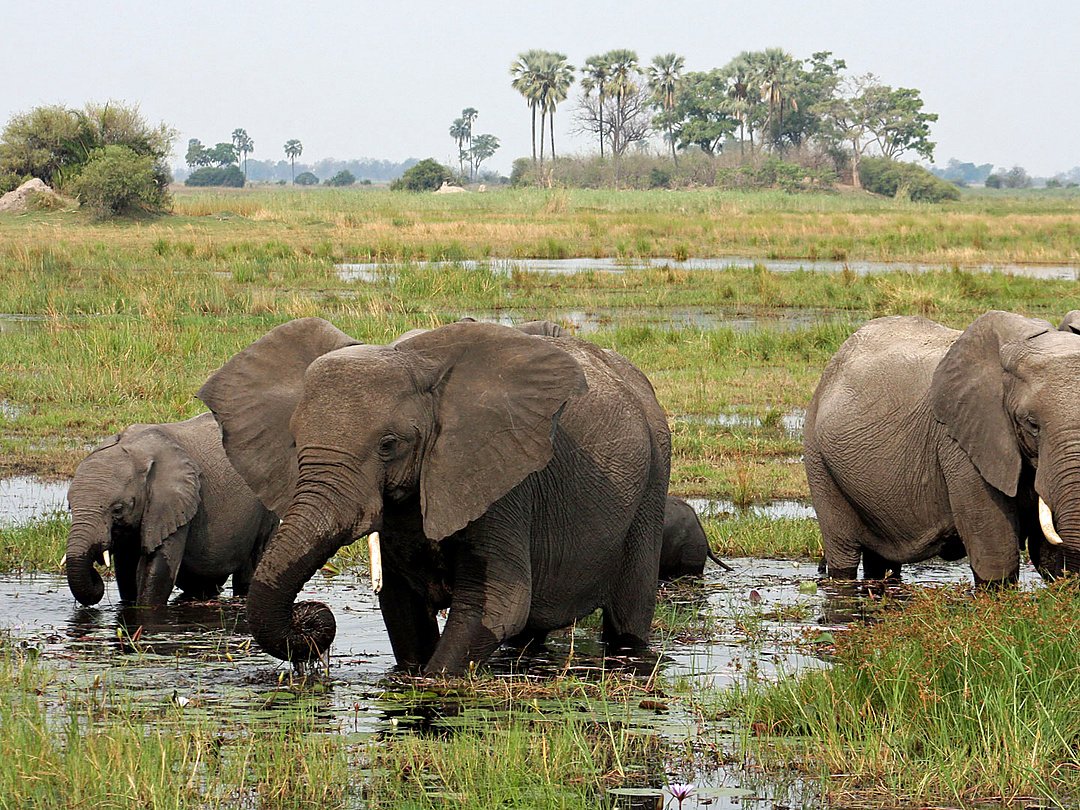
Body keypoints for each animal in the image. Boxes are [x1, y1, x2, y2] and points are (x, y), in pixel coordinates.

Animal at [66, 412, 279, 607]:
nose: (95, 572)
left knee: (249, 569)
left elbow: (157, 569)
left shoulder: (173, 504)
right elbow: (126, 570)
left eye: (118, 509)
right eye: (70, 507)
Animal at [198, 318, 671, 675]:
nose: (313, 622)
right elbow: (401, 606)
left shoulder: (499, 476)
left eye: (389, 445)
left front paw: (432, 682)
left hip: (653, 479)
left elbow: (497, 606)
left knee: (627, 615)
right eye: (295, 443)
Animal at [804, 310, 1080, 584]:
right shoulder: (961, 443)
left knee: (881, 561)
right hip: (818, 458)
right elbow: (995, 554)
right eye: (1031, 424)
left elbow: (1046, 554)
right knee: (843, 553)